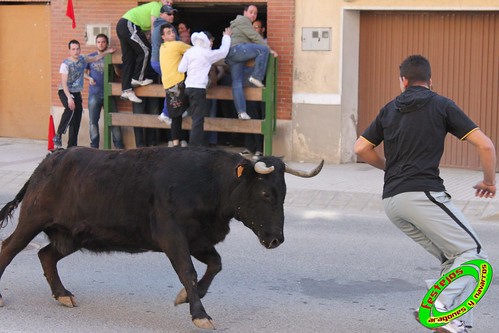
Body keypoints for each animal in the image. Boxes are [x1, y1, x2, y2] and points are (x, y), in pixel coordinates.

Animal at [0, 147, 324, 328]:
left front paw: (186, 297)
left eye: (284, 193)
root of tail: (50, 160)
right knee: (9, 248)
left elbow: (215, 265)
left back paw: (63, 294)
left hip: (73, 236)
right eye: (266, 193)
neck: (209, 183)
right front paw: (199, 314)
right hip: (32, 220)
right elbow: (188, 271)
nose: (276, 239)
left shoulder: (199, 240)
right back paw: (4, 296)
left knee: (46, 254)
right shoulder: (173, 237)